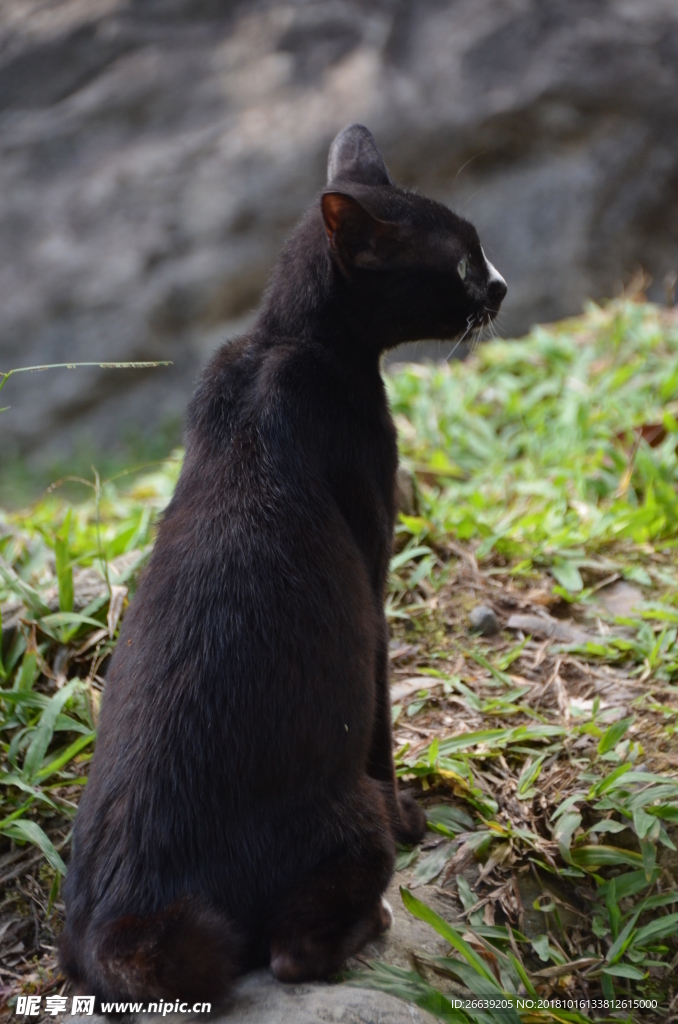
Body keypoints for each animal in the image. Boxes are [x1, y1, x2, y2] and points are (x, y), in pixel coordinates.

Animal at [61, 123, 507, 1003]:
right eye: (463, 262)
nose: (503, 286)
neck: (285, 341)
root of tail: (127, 920)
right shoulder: (372, 578)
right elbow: (384, 722)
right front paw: (413, 816)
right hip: (346, 823)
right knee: (294, 950)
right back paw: (372, 918)